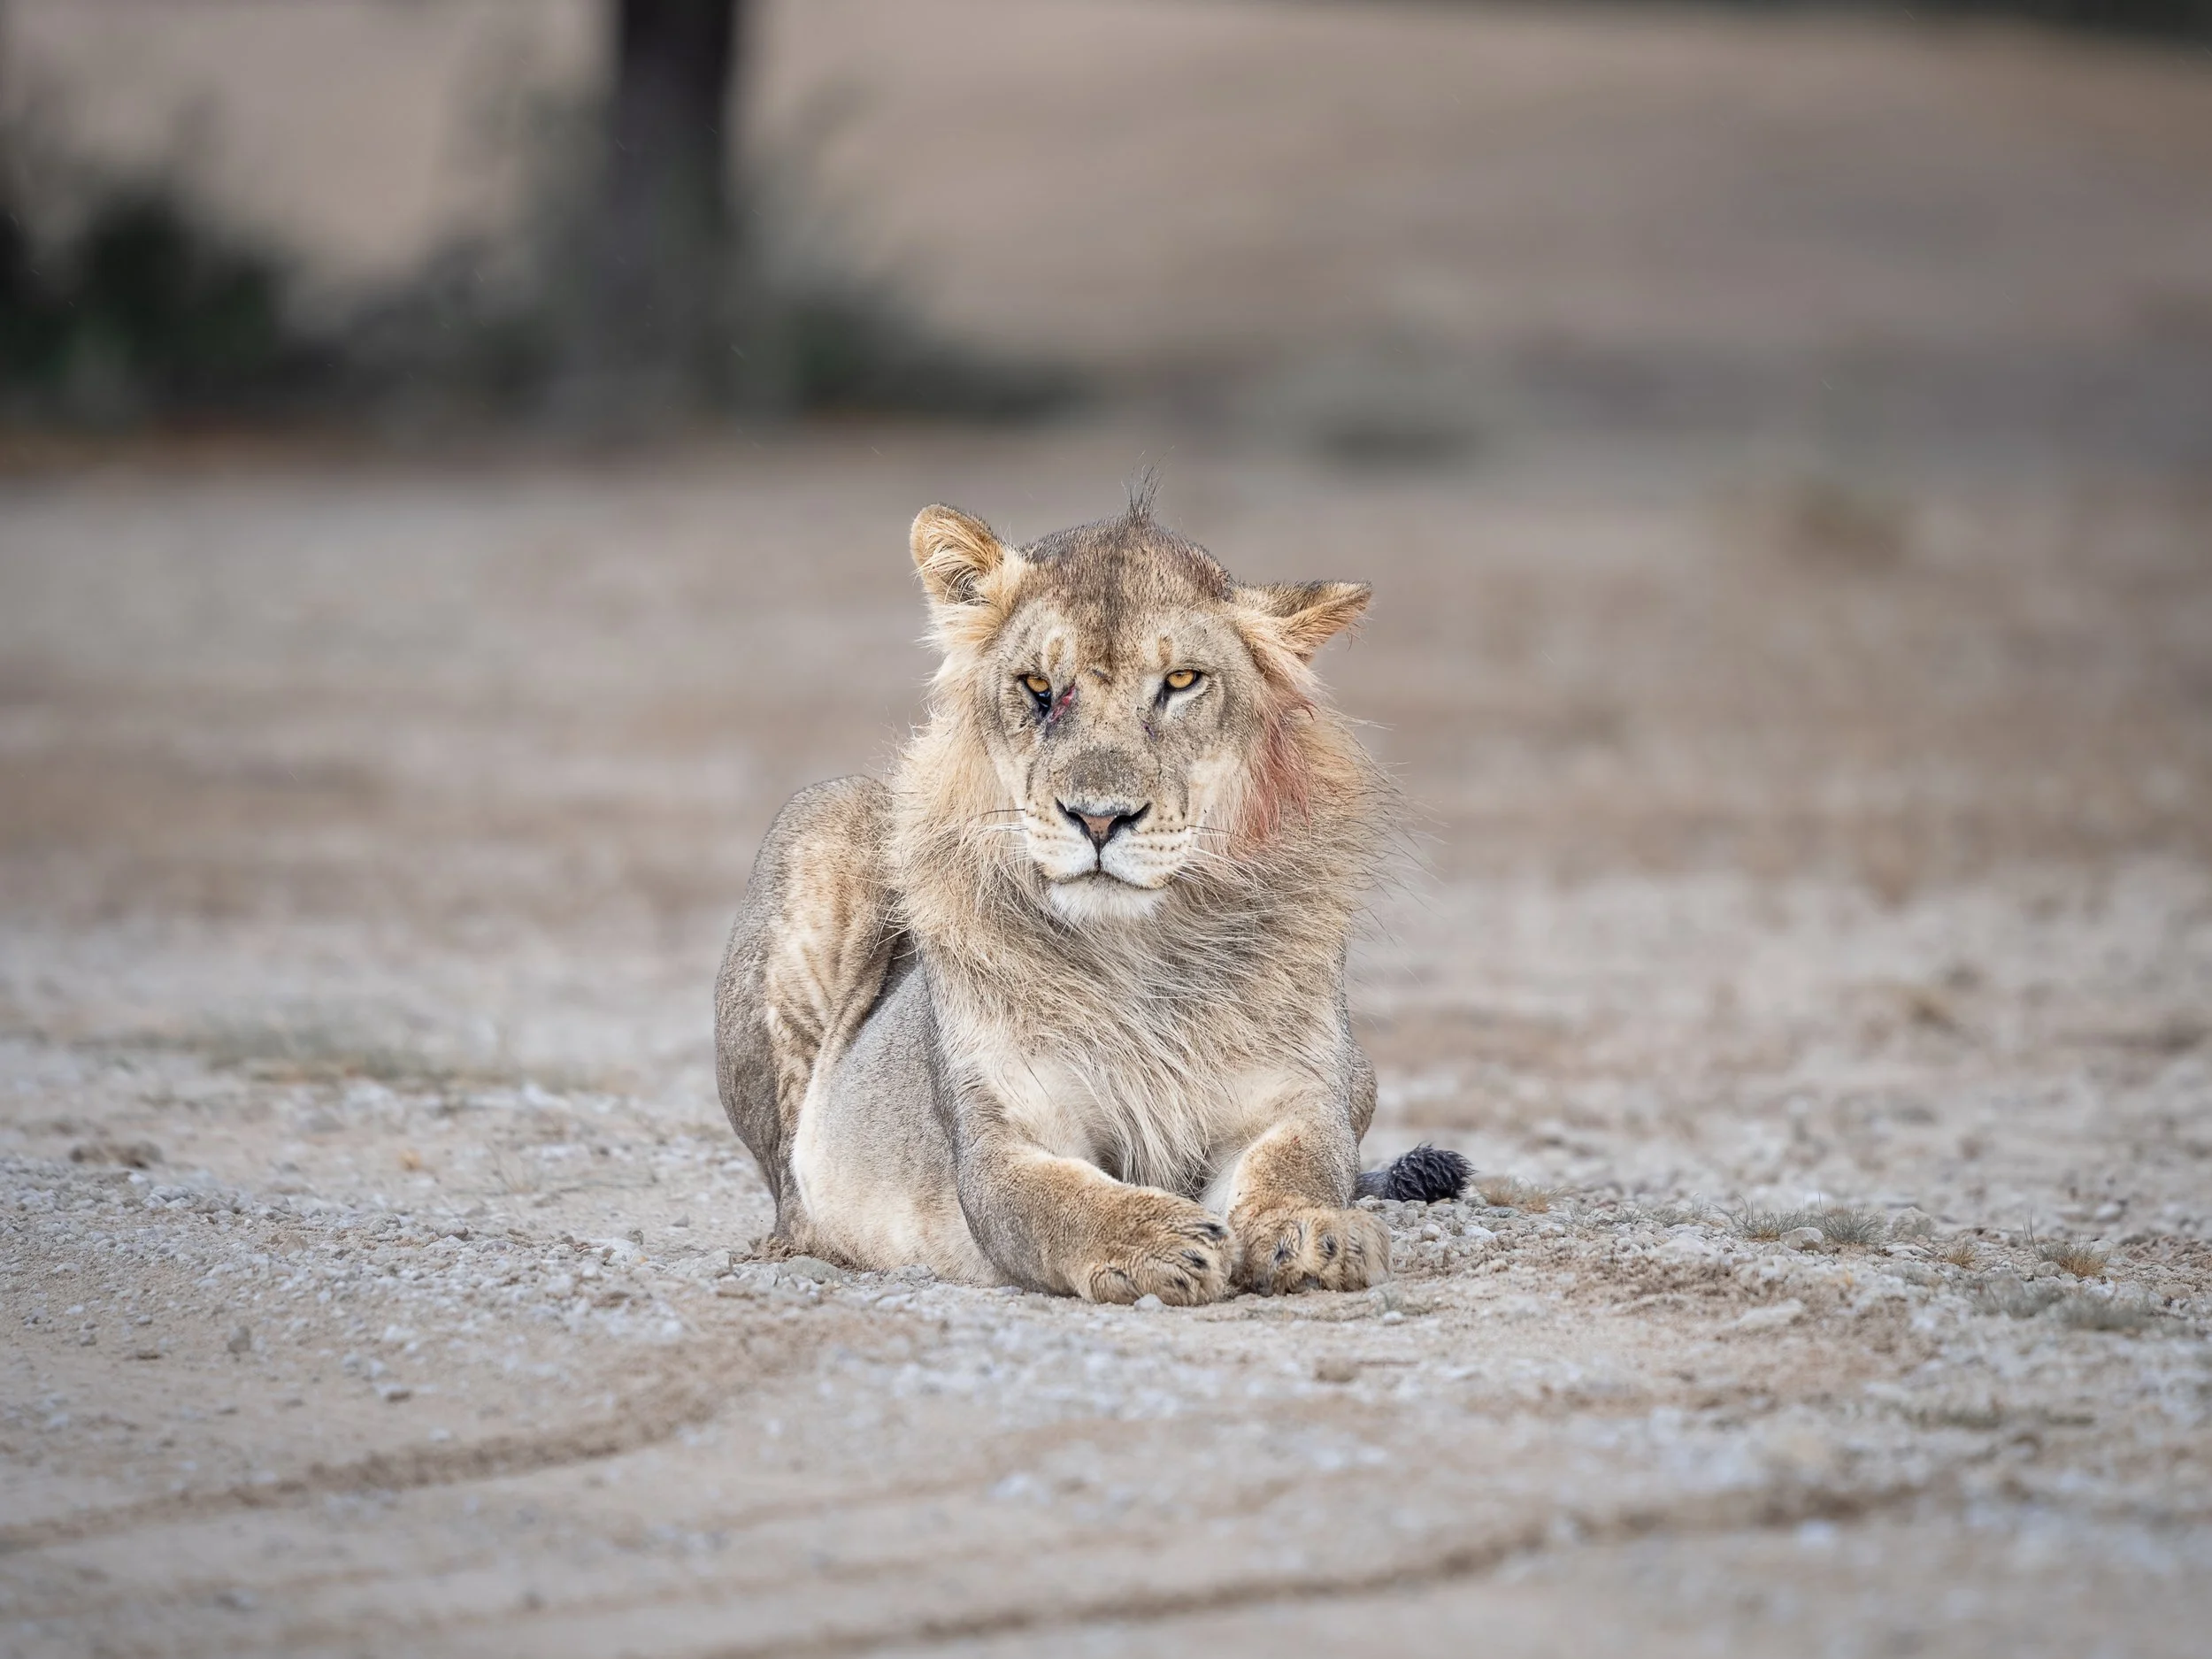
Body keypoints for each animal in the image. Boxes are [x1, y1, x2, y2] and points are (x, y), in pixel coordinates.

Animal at [714, 491, 1466, 1303]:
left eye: (1181, 681)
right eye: (1038, 688)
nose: (1100, 818)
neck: (1140, 948)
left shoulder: (1303, 1094)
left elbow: (1296, 1163)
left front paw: (1313, 1231)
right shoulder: (1001, 1135)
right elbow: (1061, 1201)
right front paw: (1157, 1240)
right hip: (826, 816)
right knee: (790, 1187)